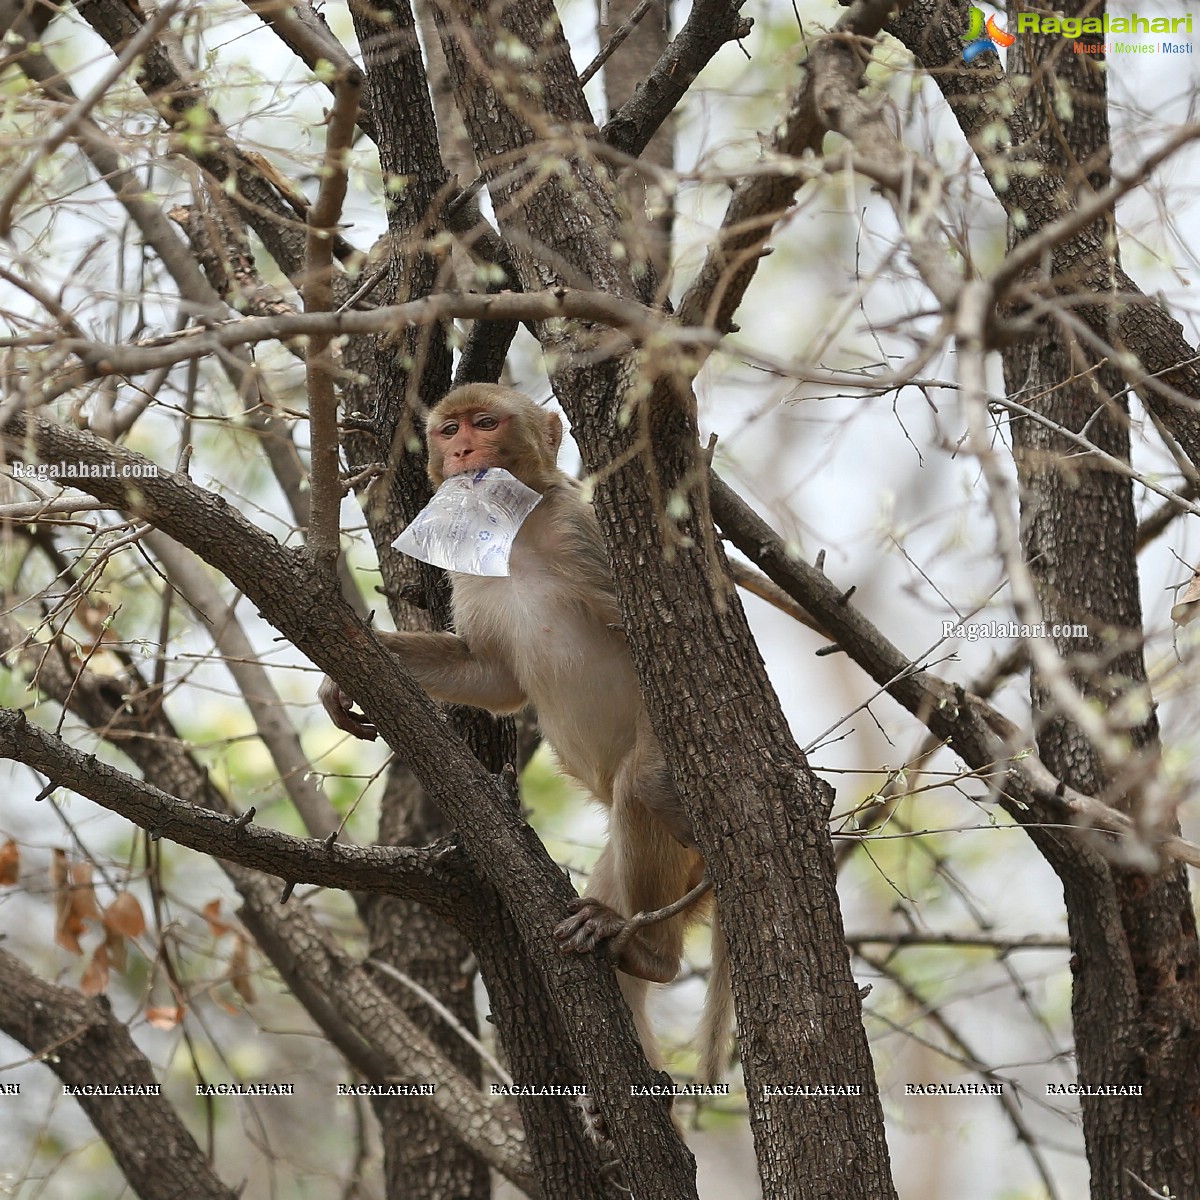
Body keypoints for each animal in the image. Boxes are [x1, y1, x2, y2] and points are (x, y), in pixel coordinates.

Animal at [321, 381, 729, 1080]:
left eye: (486, 423)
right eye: (450, 428)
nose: (463, 449)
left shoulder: (579, 534)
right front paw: (343, 675)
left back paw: (652, 954)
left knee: (637, 790)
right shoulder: (468, 565)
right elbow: (492, 677)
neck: (519, 536)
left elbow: (653, 649)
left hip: (687, 845)